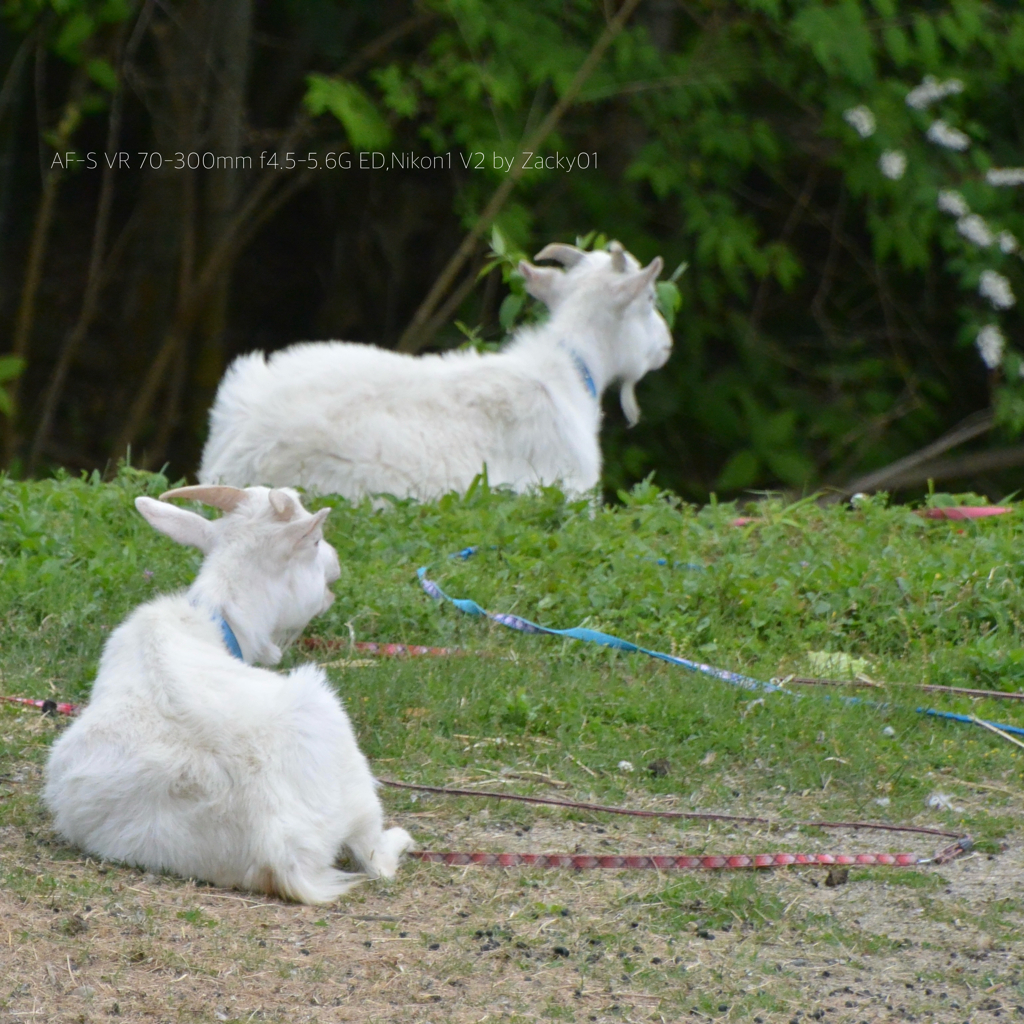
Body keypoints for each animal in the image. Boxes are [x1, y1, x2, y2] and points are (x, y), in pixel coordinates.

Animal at [44, 483, 411, 901]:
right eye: (315, 541)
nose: (335, 564)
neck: (211, 619)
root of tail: (279, 846)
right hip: (340, 741)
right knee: (375, 856)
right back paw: (401, 839)